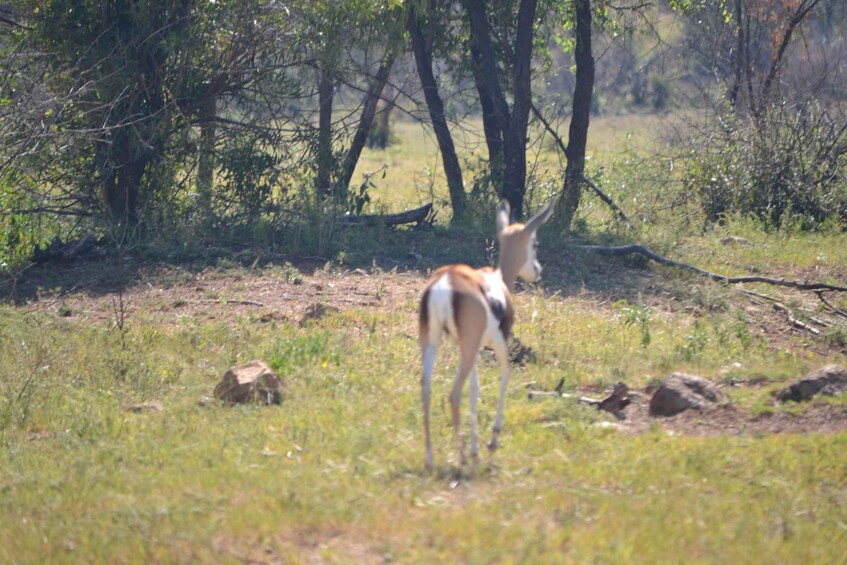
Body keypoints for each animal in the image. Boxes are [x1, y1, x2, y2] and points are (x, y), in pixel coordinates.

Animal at [418, 199, 554, 469]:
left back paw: (430, 458)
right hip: (466, 348)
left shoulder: (472, 348)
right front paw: (490, 443)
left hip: (433, 342)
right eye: (535, 243)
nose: (537, 270)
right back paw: (461, 457)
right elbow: (505, 374)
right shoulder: (497, 342)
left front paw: (476, 449)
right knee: (454, 394)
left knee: (426, 388)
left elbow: (475, 389)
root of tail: (445, 283)